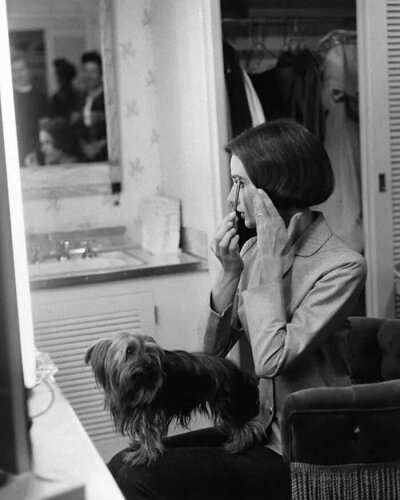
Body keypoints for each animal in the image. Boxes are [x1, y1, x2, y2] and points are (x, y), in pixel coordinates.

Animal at [84, 332, 266, 464]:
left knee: (249, 426)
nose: (148, 364)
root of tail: (239, 372)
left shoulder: (150, 412)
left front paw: (144, 454)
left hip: (227, 403)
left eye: (149, 351)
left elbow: (149, 435)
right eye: (129, 350)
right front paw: (139, 445)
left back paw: (238, 445)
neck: (135, 385)